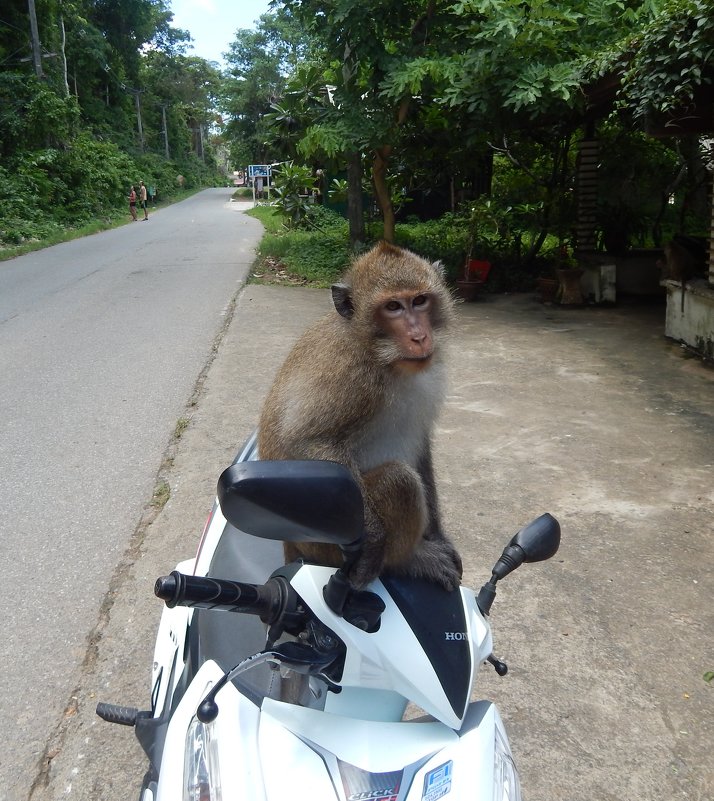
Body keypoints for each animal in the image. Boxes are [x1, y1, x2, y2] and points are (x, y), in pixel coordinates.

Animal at [256, 241, 462, 592]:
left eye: (419, 301)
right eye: (392, 307)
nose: (419, 337)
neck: (381, 354)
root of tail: (293, 545)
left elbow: (421, 447)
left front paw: (439, 534)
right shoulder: (350, 373)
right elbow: (306, 440)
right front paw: (375, 541)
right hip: (324, 541)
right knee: (398, 480)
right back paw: (408, 560)